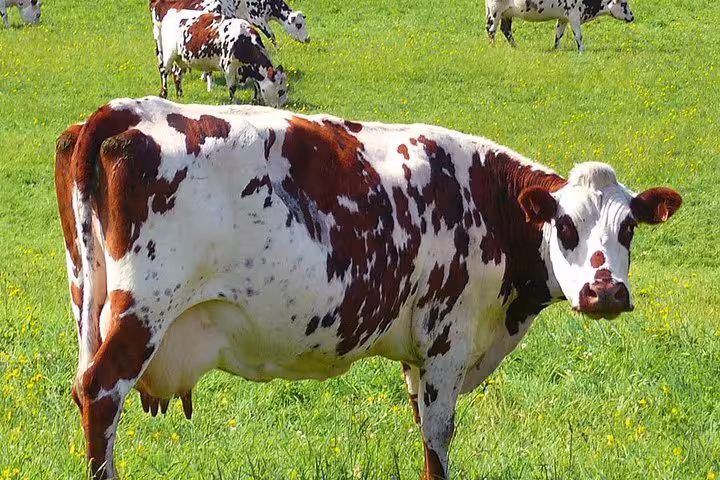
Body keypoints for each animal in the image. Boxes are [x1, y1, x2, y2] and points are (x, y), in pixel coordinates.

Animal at [56, 96, 682, 479]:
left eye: (628, 228)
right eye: (565, 226)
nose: (606, 292)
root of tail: (123, 111)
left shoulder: (418, 357)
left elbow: (423, 429)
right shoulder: (447, 342)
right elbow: (438, 439)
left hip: (89, 299)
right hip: (143, 313)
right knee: (101, 394)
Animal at [158, 9, 288, 107]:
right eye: (280, 91)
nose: (283, 105)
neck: (243, 41)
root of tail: (173, 11)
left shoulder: (251, 70)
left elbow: (257, 87)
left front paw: (256, 102)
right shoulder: (229, 67)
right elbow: (232, 88)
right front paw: (234, 103)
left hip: (181, 58)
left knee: (177, 74)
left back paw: (180, 95)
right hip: (169, 54)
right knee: (164, 72)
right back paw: (164, 94)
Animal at [485, 0, 634, 51]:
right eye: (624, 3)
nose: (632, 17)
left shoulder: (563, 17)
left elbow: (559, 34)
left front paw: (556, 48)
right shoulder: (574, 15)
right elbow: (578, 36)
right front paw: (582, 50)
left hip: (506, 13)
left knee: (506, 29)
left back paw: (516, 47)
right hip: (495, 11)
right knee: (491, 30)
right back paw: (493, 47)